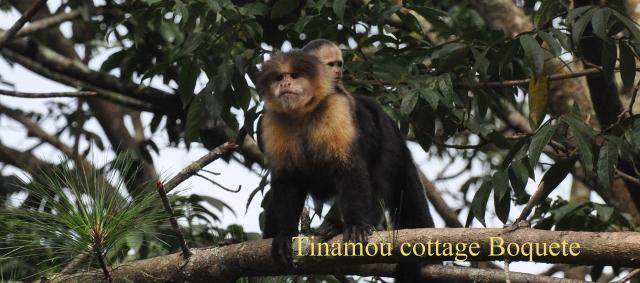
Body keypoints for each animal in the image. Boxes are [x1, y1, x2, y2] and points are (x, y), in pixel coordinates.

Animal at [258, 50, 432, 282]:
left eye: (294, 75)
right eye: (279, 77)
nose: (285, 83)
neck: (302, 113)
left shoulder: (336, 109)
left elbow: (349, 168)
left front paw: (356, 225)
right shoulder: (271, 122)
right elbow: (286, 180)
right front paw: (285, 234)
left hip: (389, 144)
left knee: (378, 178)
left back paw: (340, 225)